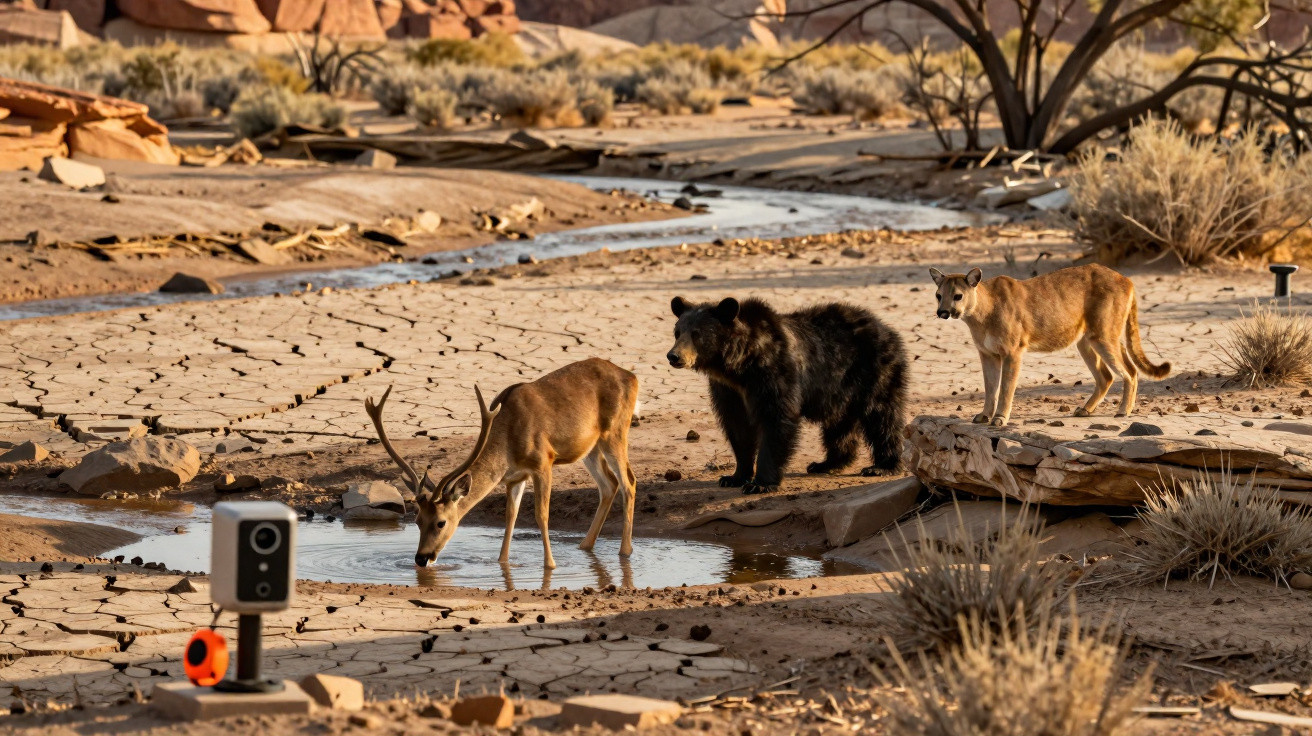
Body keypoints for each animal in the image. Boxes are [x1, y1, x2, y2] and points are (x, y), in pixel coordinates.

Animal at [363, 358, 640, 570]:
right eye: (417, 520)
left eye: (441, 522)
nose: (422, 558)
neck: (507, 440)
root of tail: (632, 376)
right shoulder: (515, 477)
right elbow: (511, 516)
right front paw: (503, 563)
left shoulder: (544, 462)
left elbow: (541, 514)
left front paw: (550, 565)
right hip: (589, 448)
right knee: (609, 484)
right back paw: (585, 546)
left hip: (616, 431)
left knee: (629, 481)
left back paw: (625, 551)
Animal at [667, 295, 909, 495]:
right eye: (678, 332)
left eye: (697, 335)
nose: (673, 356)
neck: (740, 366)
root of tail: (885, 327)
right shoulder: (728, 391)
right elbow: (738, 427)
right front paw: (734, 477)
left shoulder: (773, 375)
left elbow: (776, 420)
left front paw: (760, 483)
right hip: (840, 390)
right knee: (839, 425)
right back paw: (826, 464)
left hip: (874, 372)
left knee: (882, 416)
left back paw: (882, 466)